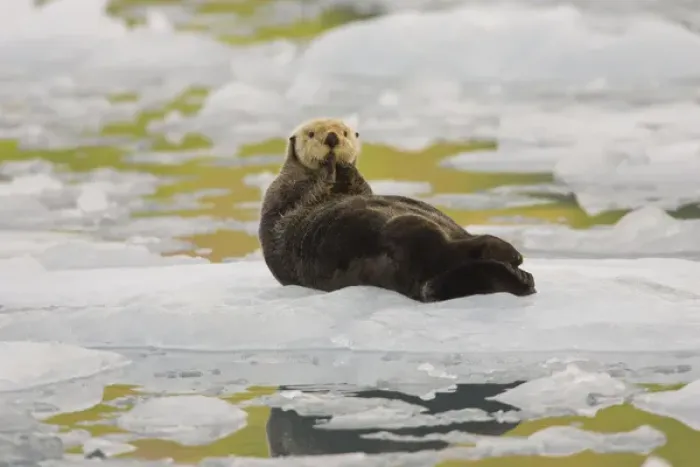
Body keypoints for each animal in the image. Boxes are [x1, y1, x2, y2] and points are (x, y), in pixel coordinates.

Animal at [258, 118, 535, 302]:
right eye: (312, 134)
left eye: (345, 132)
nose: (332, 138)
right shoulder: (285, 194)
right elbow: (306, 196)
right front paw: (330, 166)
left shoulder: (357, 189)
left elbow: (360, 186)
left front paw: (345, 165)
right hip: (407, 232)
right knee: (451, 253)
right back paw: (514, 263)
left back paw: (516, 265)